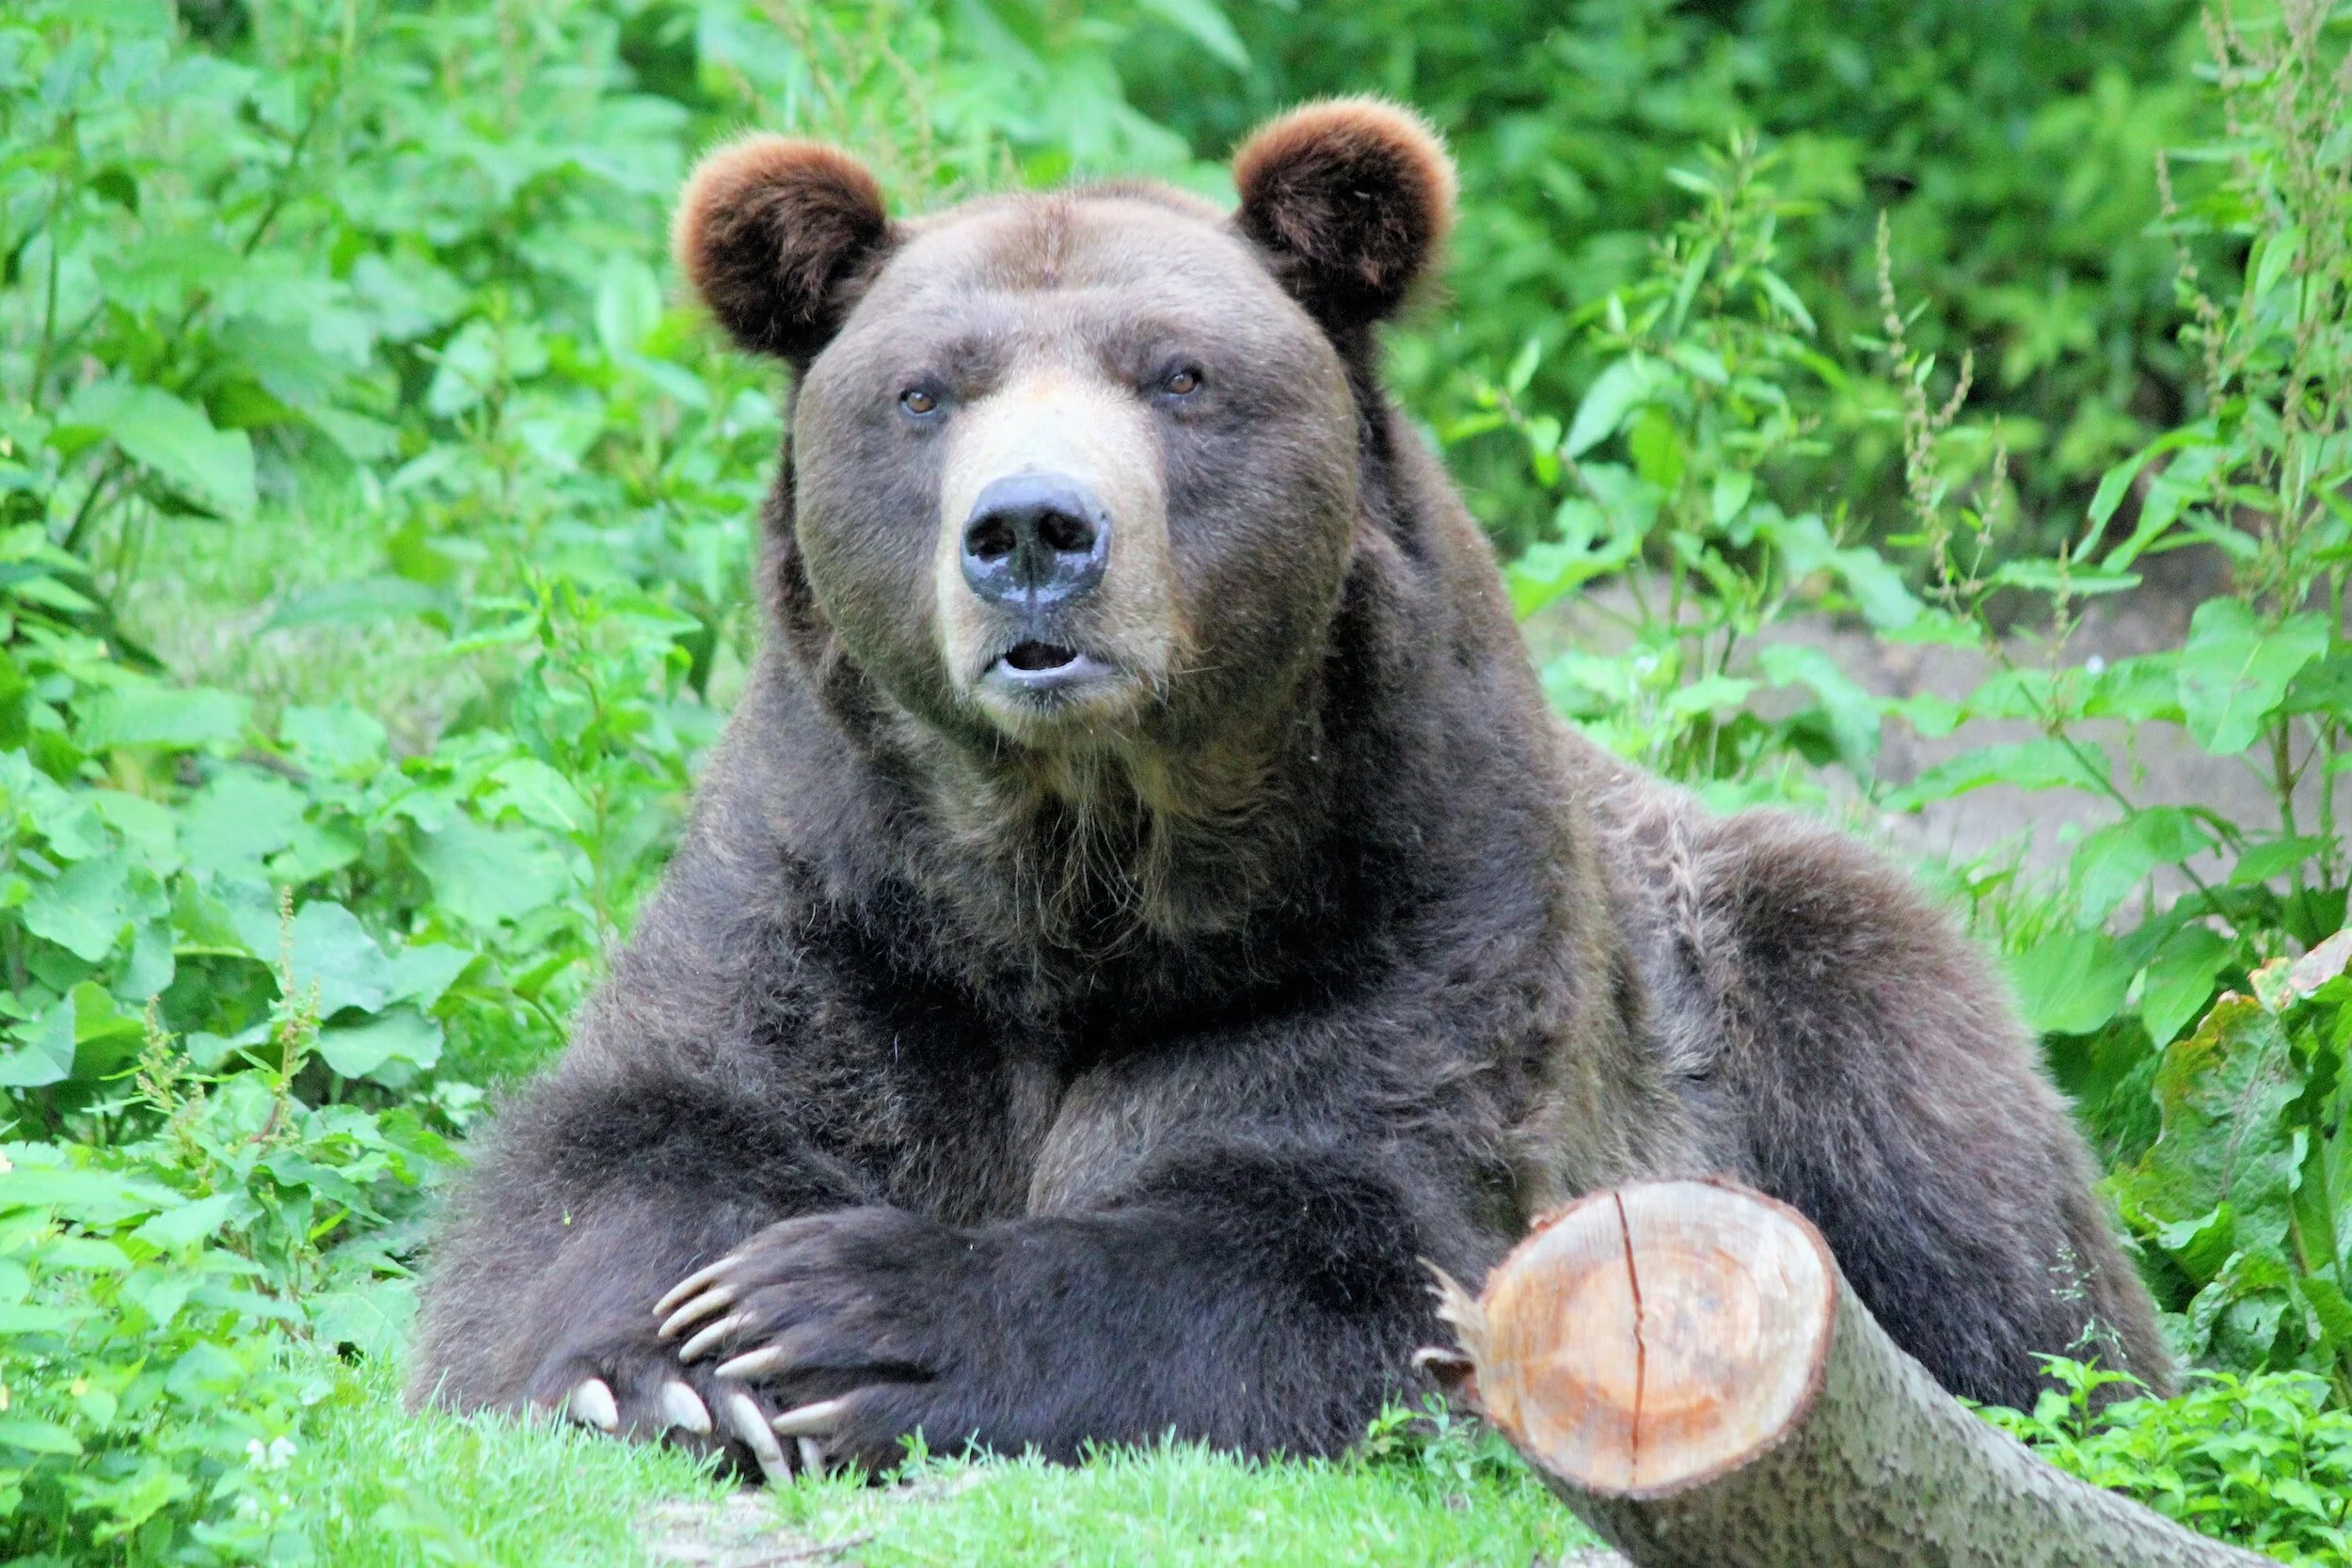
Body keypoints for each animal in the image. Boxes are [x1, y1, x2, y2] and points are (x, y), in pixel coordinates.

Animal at [407, 99, 2169, 1482]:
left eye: (1178, 374)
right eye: (924, 392)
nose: (1032, 531)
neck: (1073, 868)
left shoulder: (1402, 910)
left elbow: (1338, 1235)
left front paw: (847, 1316)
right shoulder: (834, 893)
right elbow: (641, 1131)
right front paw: (668, 1360)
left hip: (1778, 964)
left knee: (1973, 1194)